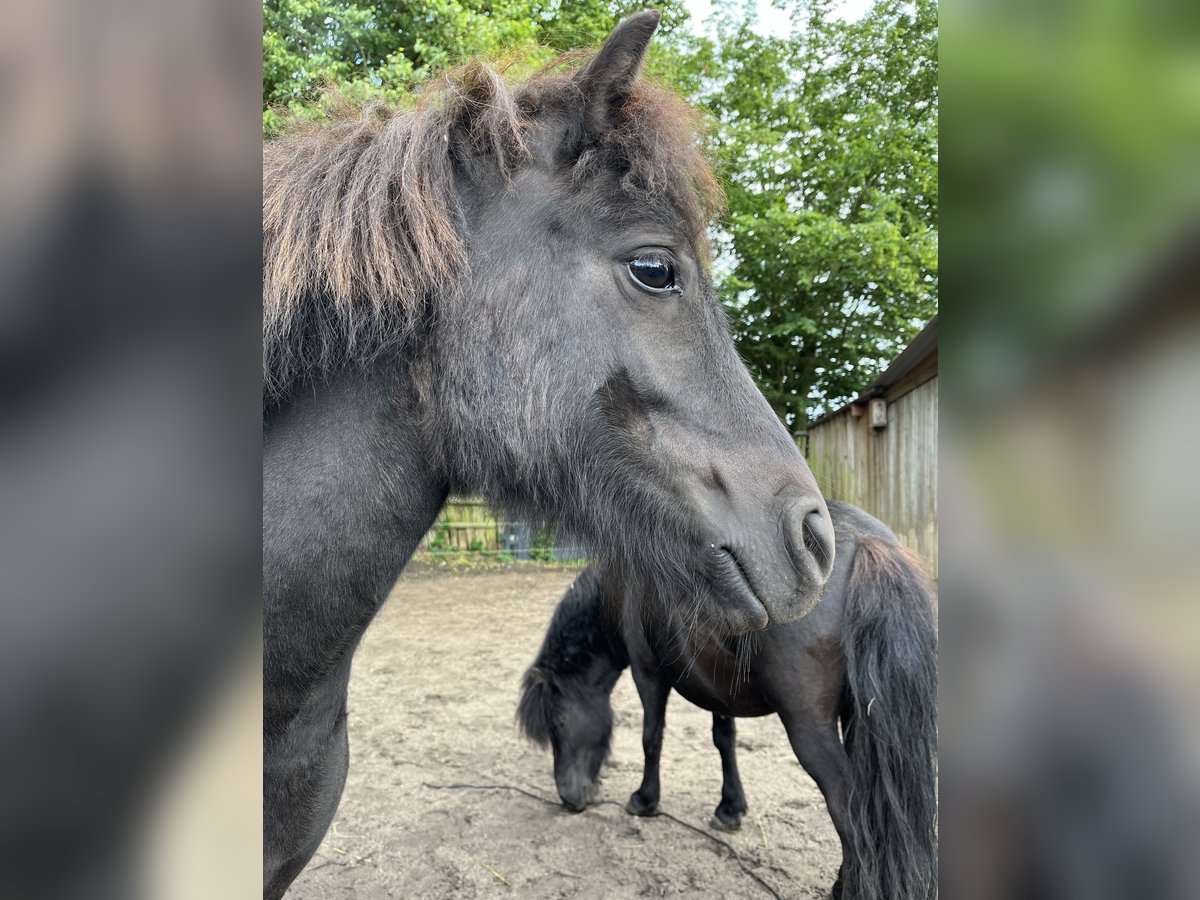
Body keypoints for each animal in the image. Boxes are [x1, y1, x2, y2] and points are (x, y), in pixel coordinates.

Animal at [516, 501, 936, 900]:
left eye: (559, 724)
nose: (568, 798)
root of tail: (866, 543)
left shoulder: (647, 673)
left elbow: (652, 737)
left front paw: (645, 800)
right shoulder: (719, 685)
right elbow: (724, 741)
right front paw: (730, 808)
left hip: (808, 727)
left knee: (845, 804)